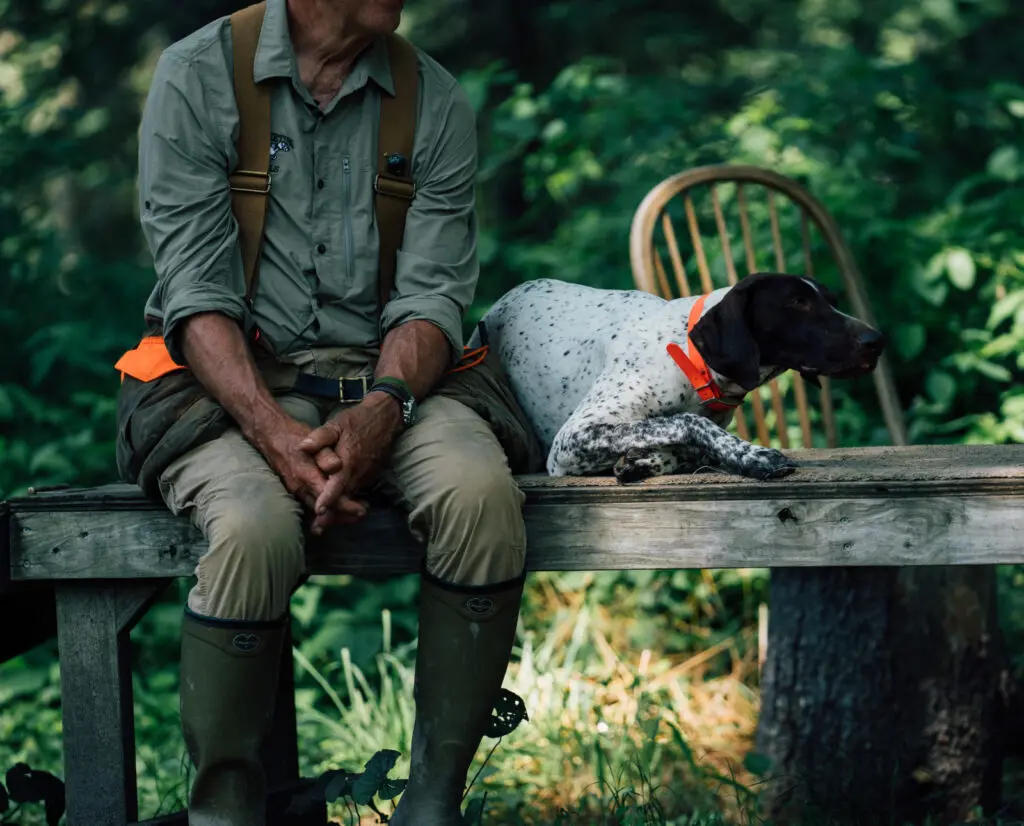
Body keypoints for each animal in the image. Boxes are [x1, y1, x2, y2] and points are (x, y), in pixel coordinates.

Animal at [475, 276, 884, 485]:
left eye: (830, 300)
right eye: (798, 302)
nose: (876, 341)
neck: (688, 355)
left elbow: (682, 447)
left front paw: (643, 461)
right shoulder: (571, 441)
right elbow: (689, 423)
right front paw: (751, 455)